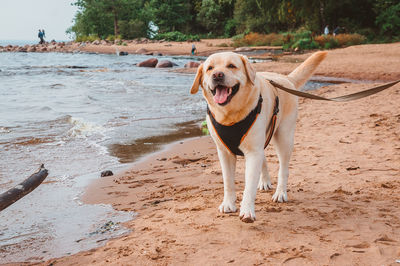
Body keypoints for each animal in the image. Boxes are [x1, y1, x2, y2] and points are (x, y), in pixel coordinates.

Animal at [190, 50, 324, 222]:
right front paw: (228, 204)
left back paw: (280, 193)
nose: (217, 75)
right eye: (210, 68)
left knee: (283, 168)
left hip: (284, 137)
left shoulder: (253, 152)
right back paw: (265, 181)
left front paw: (247, 210)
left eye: (231, 66)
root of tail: (285, 78)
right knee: (264, 157)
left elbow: (250, 185)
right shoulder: (225, 153)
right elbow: (228, 181)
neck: (230, 115)